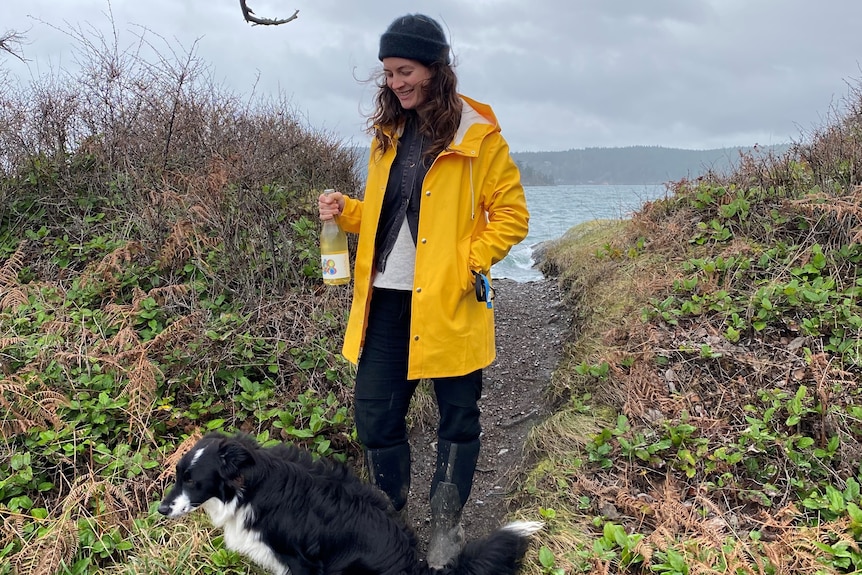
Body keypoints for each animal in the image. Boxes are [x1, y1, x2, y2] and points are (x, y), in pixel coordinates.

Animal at [159, 434, 544, 572]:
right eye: (177, 476)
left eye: (193, 480)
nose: (161, 509)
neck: (249, 487)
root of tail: (412, 566)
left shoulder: (301, 562)